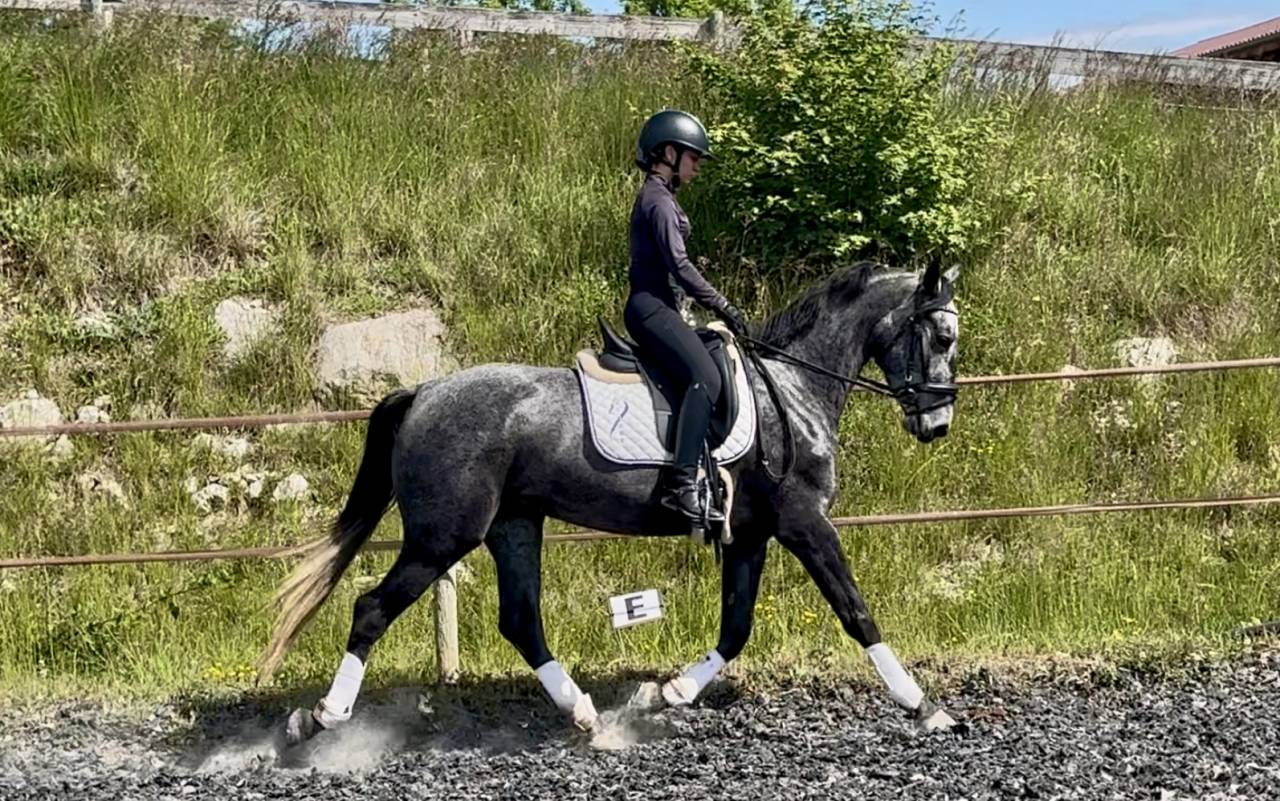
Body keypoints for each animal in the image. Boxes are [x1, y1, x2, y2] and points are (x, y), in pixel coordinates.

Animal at [256, 256, 962, 745]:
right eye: (944, 339)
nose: (937, 424)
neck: (789, 387)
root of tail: (424, 391)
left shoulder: (752, 532)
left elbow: (736, 628)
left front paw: (669, 693)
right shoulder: (804, 522)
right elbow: (856, 611)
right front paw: (925, 707)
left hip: (514, 525)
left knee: (520, 619)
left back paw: (584, 714)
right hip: (443, 536)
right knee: (373, 609)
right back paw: (323, 716)